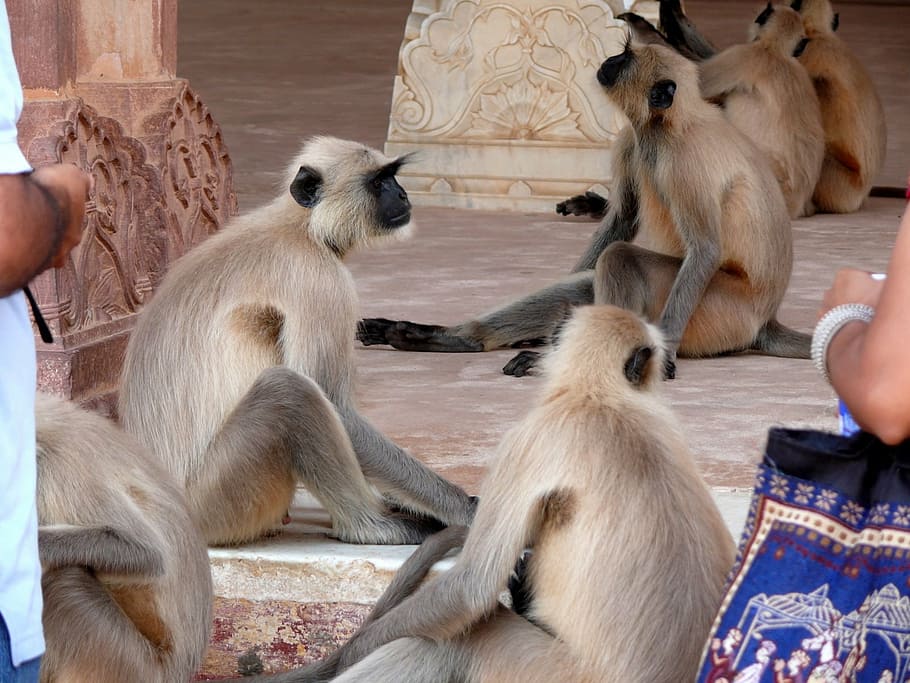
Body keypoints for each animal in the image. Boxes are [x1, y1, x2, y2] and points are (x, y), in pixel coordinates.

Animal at [118, 136, 476, 547]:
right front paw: (465, 508)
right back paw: (371, 527)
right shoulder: (320, 280)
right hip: (212, 502)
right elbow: (335, 404)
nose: (402, 194)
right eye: (378, 182)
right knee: (291, 392)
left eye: (392, 177)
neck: (303, 228)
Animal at [359, 42, 810, 378]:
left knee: (620, 260)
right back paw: (460, 338)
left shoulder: (684, 160)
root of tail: (764, 319)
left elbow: (704, 249)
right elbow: (622, 219)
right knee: (588, 280)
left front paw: (658, 356)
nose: (608, 61)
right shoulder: (631, 139)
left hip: (721, 311)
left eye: (624, 59)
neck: (663, 127)